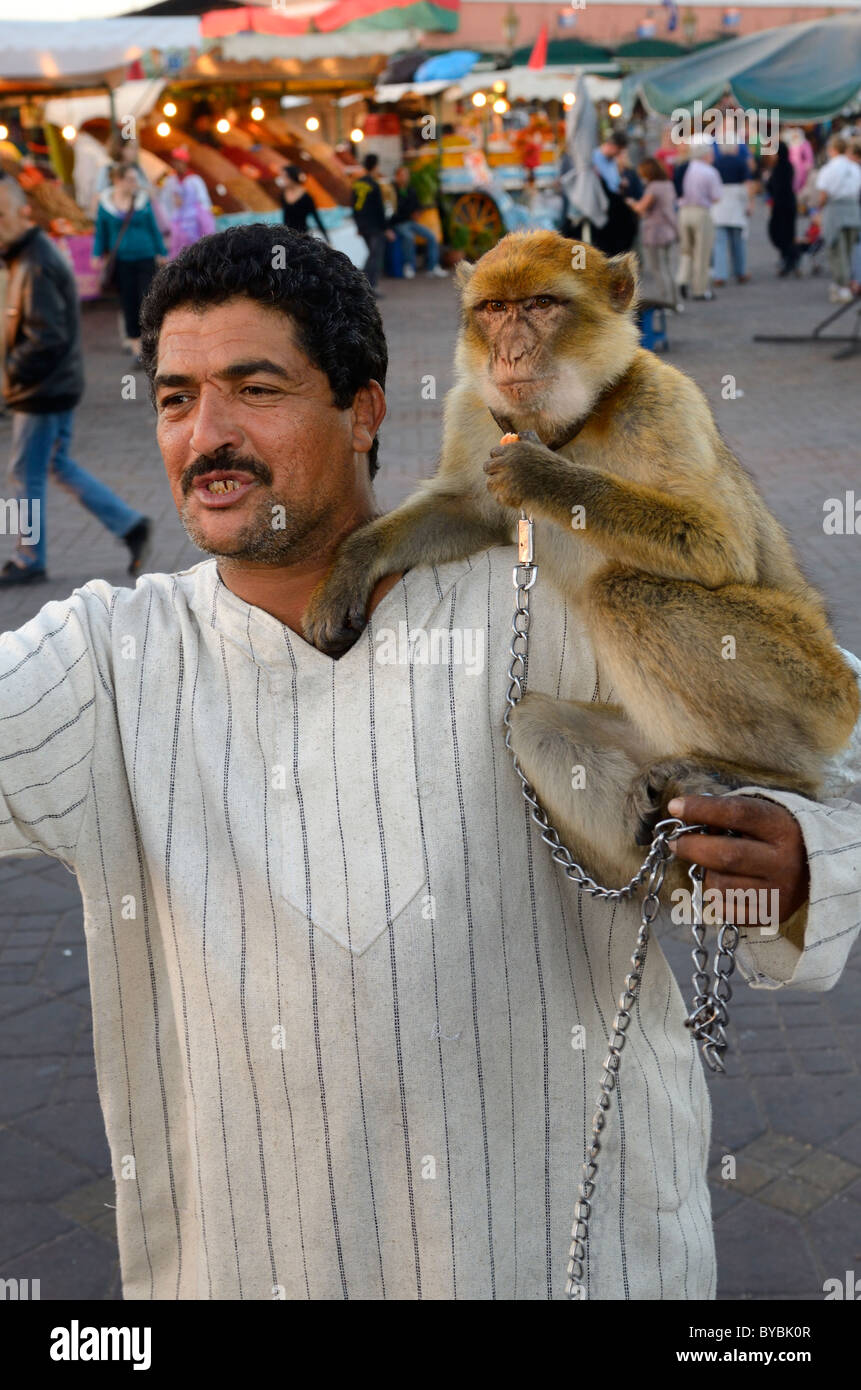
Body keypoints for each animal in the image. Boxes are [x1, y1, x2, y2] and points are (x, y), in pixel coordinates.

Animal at [301, 225, 856, 878]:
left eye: (542, 304)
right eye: (494, 309)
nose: (511, 353)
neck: (567, 427)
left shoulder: (664, 402)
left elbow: (720, 546)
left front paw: (542, 475)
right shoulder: (472, 411)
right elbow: (465, 511)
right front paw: (351, 567)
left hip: (815, 687)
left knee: (623, 592)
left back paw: (765, 775)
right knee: (530, 722)